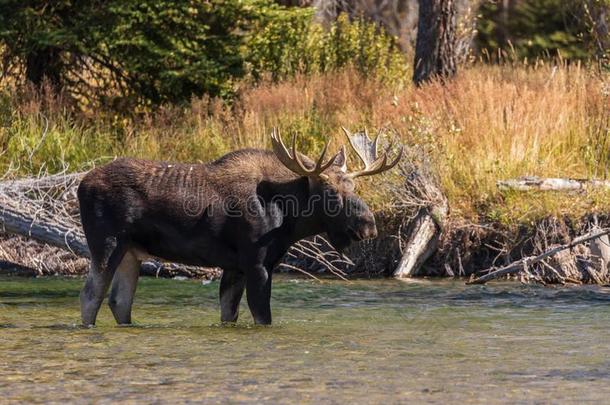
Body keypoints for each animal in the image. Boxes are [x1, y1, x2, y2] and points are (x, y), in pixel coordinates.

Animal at [77, 128, 400, 326]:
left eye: (354, 187)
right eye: (331, 192)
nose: (369, 225)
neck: (288, 217)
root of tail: (80, 185)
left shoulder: (234, 266)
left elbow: (228, 313)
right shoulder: (257, 263)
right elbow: (262, 316)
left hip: (131, 253)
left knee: (119, 301)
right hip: (107, 244)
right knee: (91, 296)